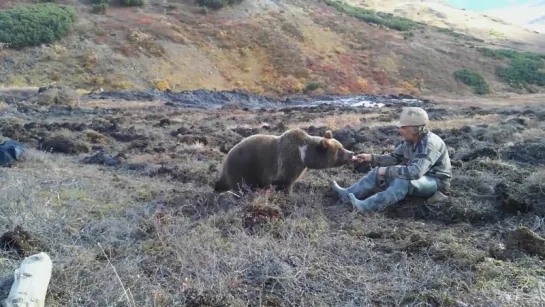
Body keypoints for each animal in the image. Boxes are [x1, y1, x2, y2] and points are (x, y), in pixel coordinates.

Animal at [212, 127, 352, 195]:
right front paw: (288, 195)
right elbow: (284, 182)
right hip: (243, 167)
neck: (303, 156)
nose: (352, 154)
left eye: (341, 146)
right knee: (243, 185)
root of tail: (226, 158)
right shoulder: (287, 162)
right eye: (340, 150)